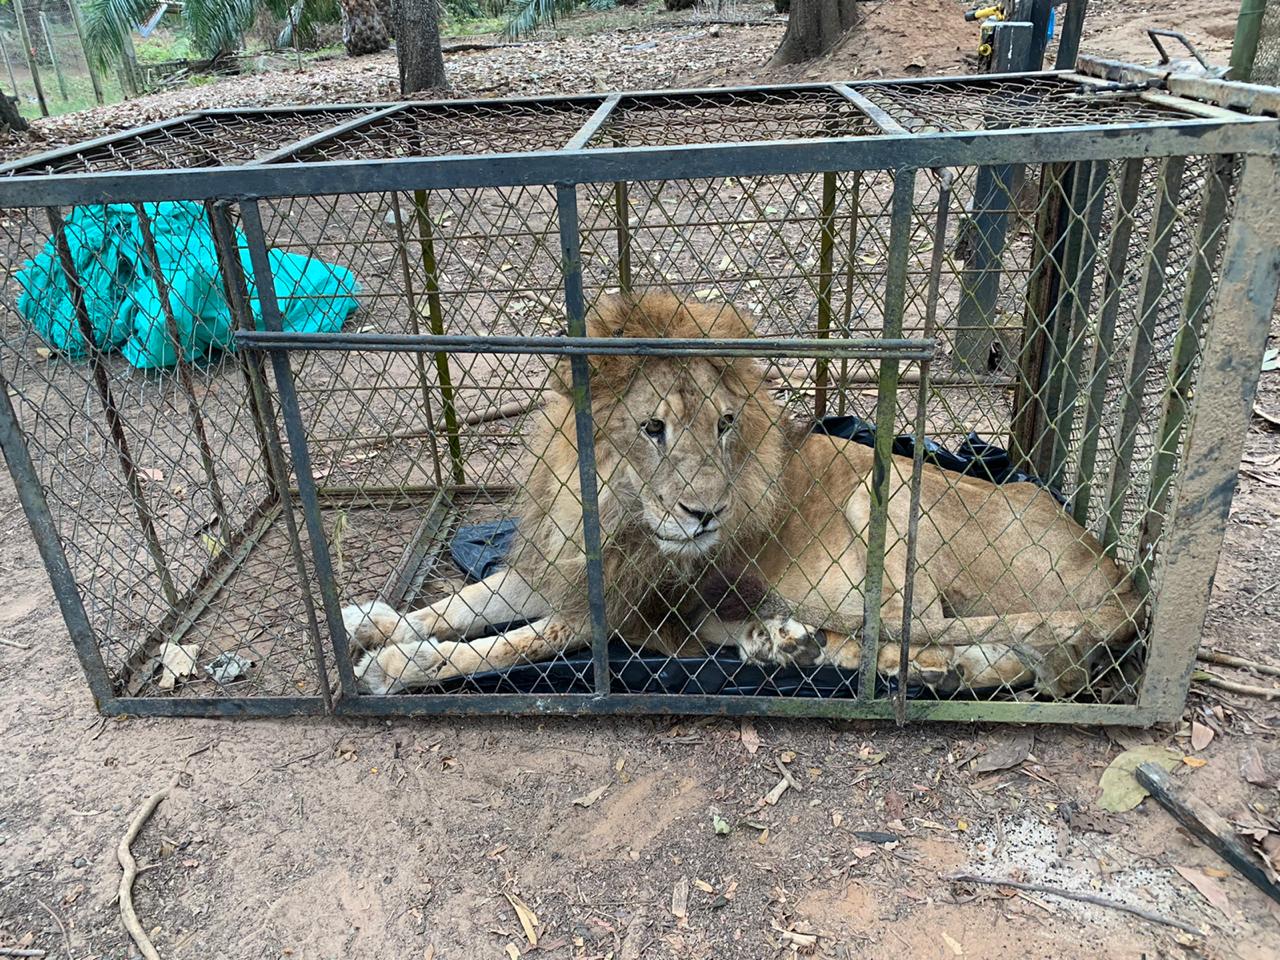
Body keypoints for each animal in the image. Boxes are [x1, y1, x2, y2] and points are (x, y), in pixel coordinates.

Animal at [345, 291, 1146, 701]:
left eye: (725, 424)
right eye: (654, 428)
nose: (706, 513)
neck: (609, 506)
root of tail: (1123, 579)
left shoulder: (611, 609)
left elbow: (497, 646)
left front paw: (394, 666)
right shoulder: (566, 568)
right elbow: (461, 605)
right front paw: (375, 620)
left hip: (892, 493)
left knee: (913, 647)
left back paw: (798, 646)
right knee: (983, 661)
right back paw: (779, 640)